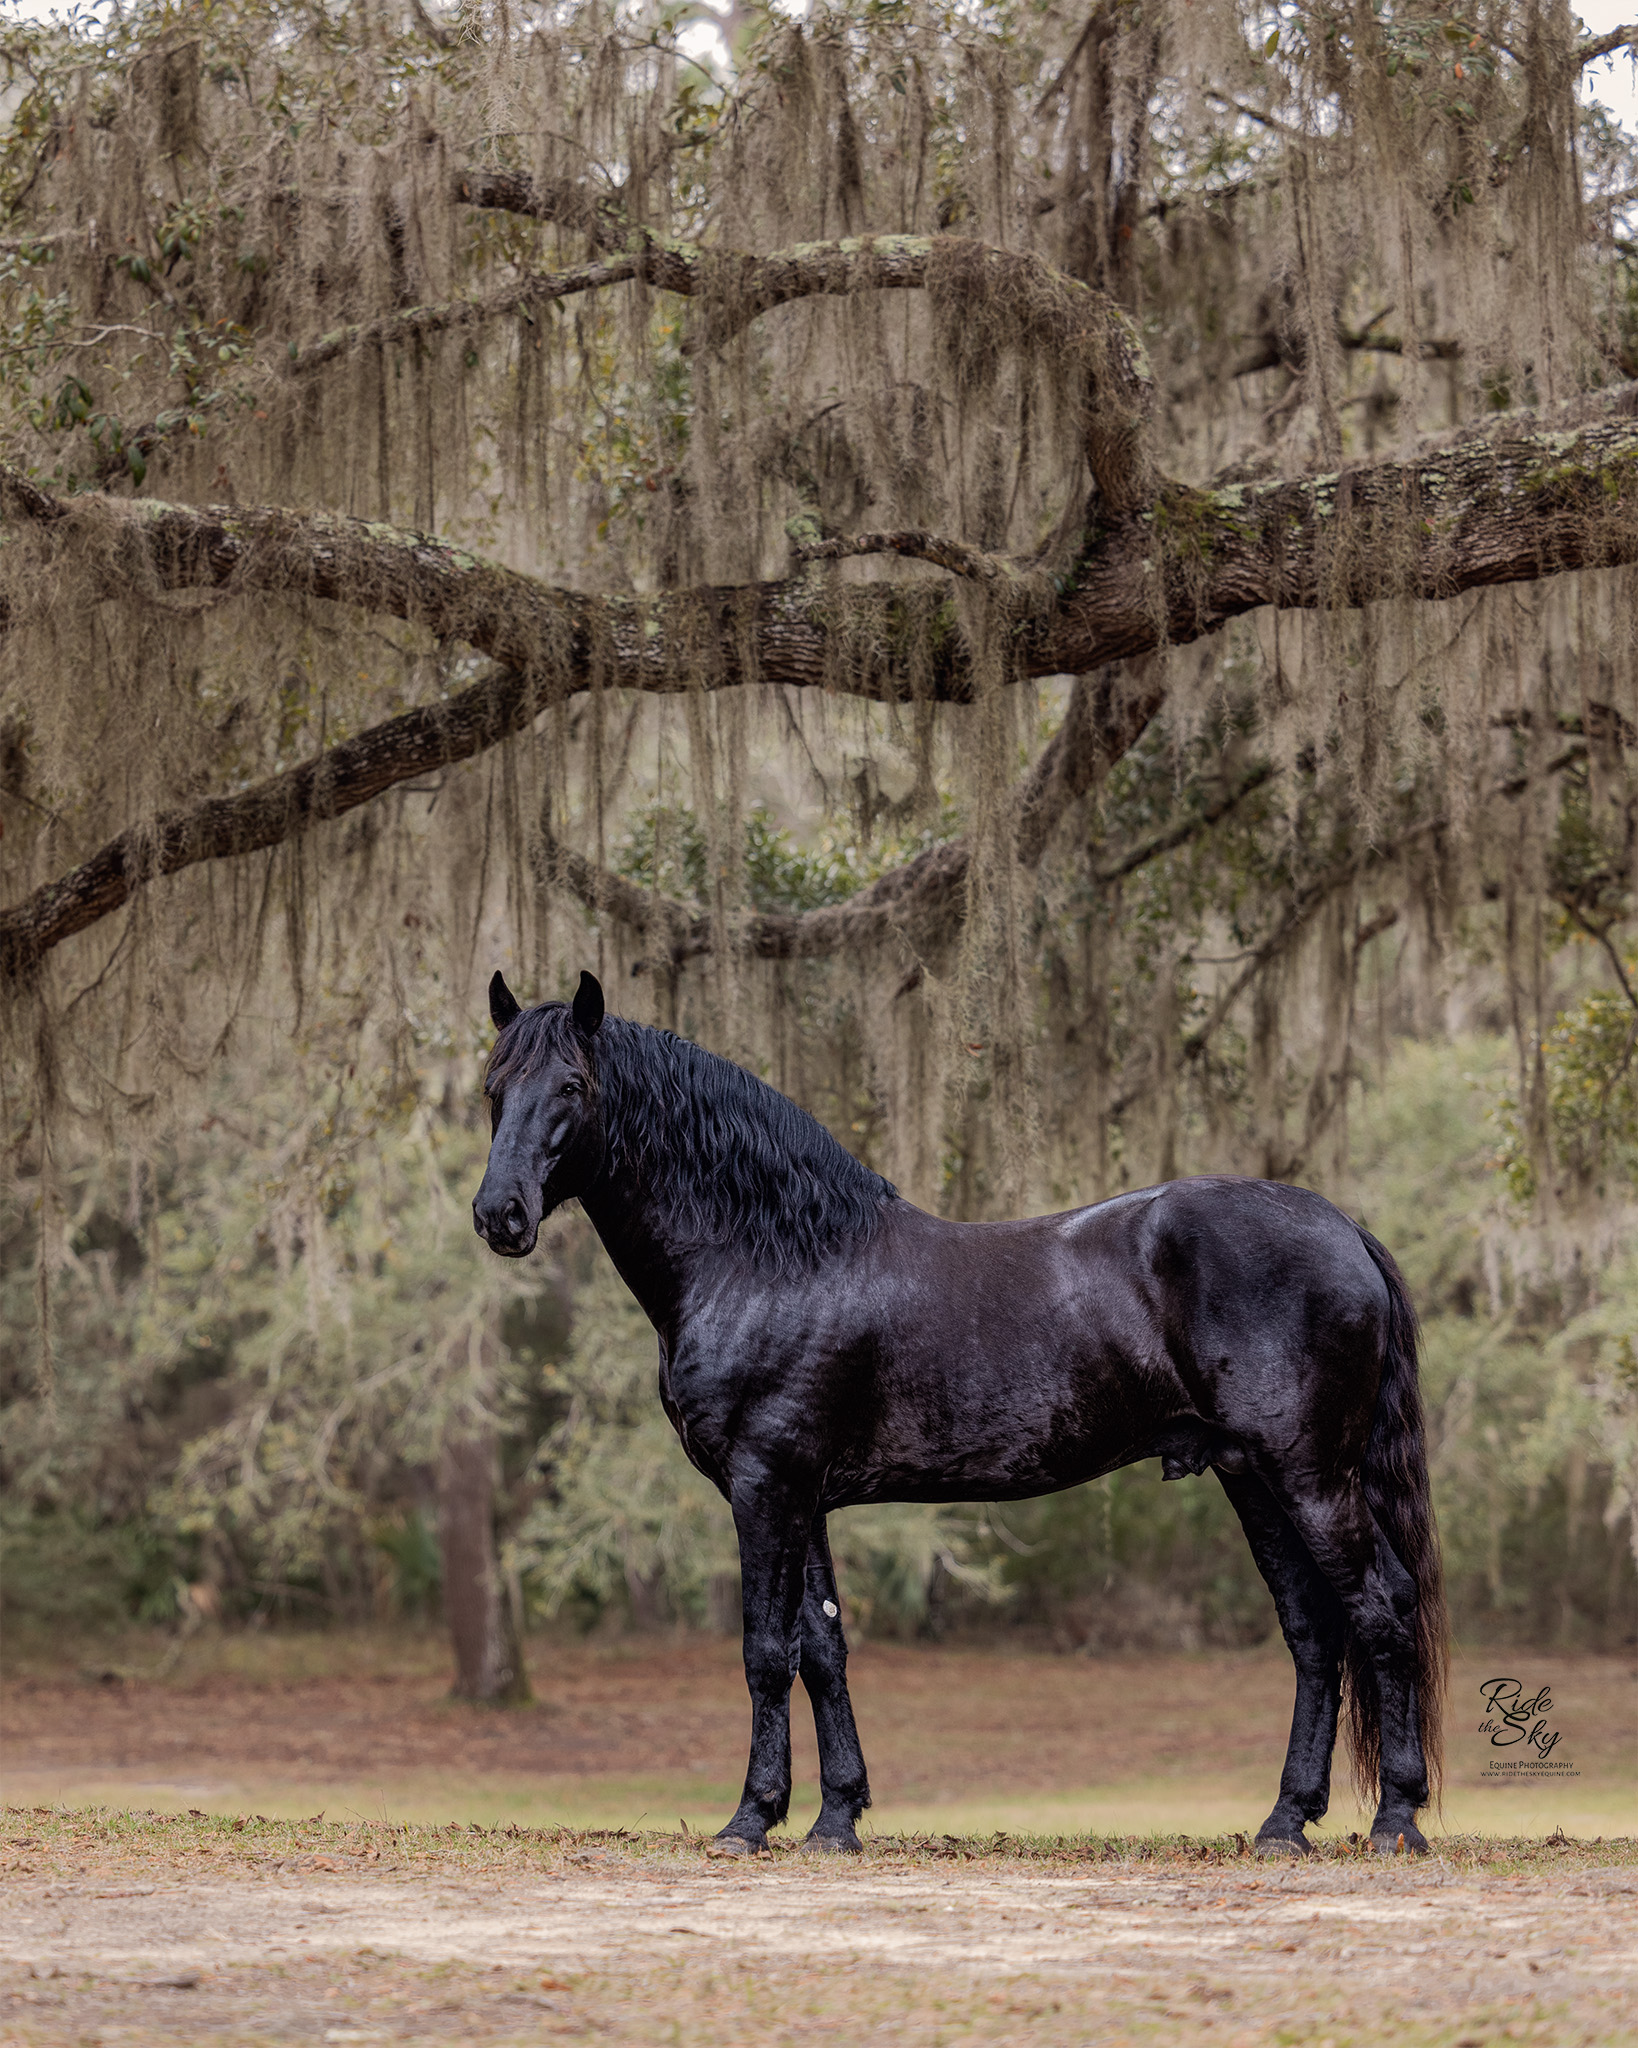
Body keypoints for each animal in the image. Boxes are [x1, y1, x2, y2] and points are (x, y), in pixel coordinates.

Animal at [472, 970, 1449, 1859]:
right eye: (492, 1086)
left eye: (572, 1087)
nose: (499, 1216)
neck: (768, 1256)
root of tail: (1343, 1230)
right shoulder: (804, 1498)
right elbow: (822, 1650)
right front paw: (836, 1820)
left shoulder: (764, 1487)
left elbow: (764, 1651)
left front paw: (750, 1820)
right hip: (1254, 1478)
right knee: (1314, 1632)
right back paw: (1285, 1823)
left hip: (1309, 1474)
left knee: (1380, 1608)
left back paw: (1395, 1823)